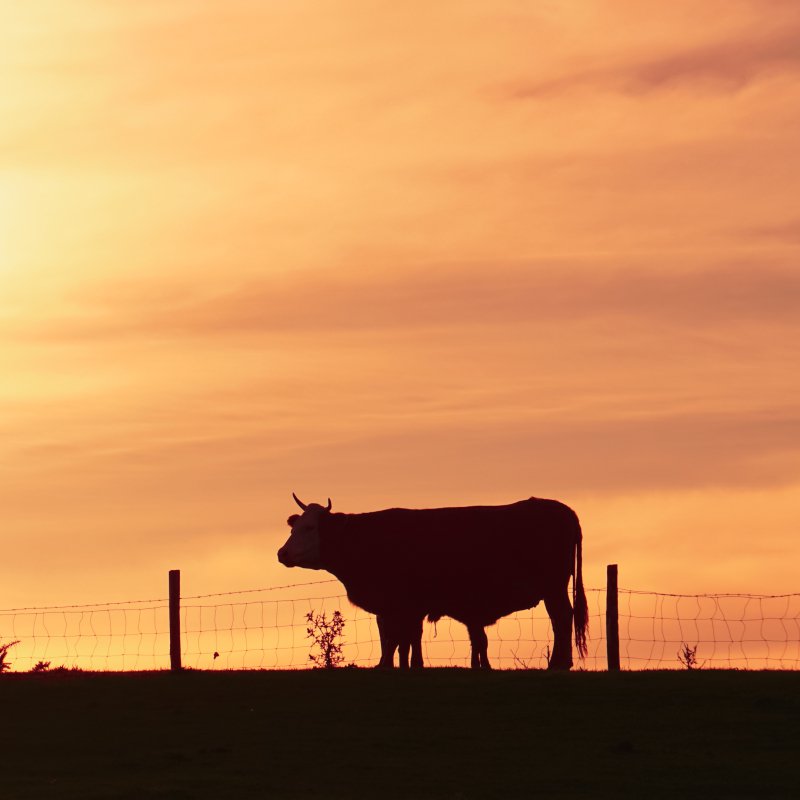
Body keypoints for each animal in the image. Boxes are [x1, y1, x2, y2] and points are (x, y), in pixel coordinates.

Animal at [280, 494, 588, 668]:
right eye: (295, 527)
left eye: (309, 528)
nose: (281, 553)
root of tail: (563, 510)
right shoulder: (400, 606)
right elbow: (400, 638)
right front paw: (403, 666)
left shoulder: (402, 603)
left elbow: (398, 638)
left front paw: (396, 666)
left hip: (553, 587)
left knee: (562, 618)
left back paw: (557, 664)